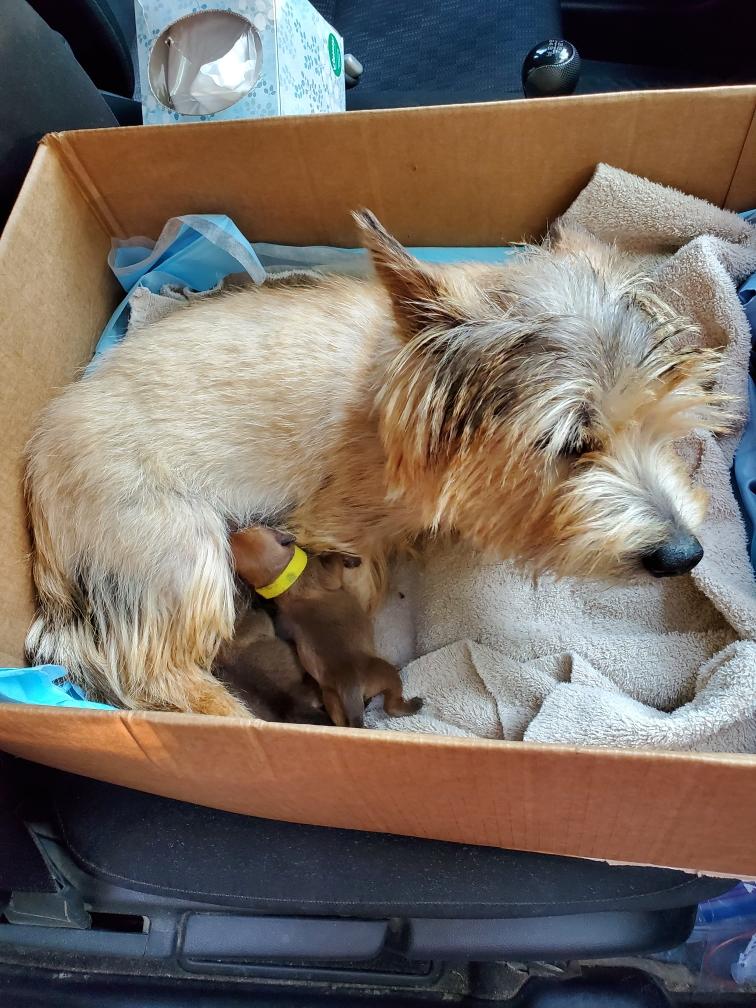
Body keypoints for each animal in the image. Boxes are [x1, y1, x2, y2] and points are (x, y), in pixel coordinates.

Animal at [229, 527, 421, 728]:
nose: (233, 531)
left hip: (331, 699)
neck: (285, 578)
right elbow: (334, 560)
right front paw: (345, 558)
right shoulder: (327, 575)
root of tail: (350, 686)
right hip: (384, 673)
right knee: (391, 704)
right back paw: (414, 704)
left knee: (342, 723)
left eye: (249, 529)